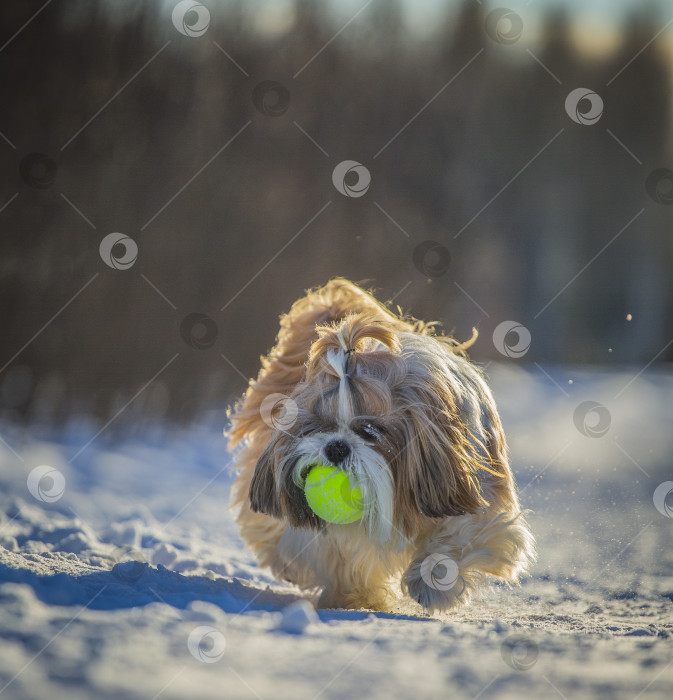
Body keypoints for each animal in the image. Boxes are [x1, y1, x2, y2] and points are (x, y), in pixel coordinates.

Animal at [228, 278, 532, 612]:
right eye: (321, 426)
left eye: (371, 431)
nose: (336, 447)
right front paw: (355, 594)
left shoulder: (473, 494)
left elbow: (462, 534)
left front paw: (433, 582)